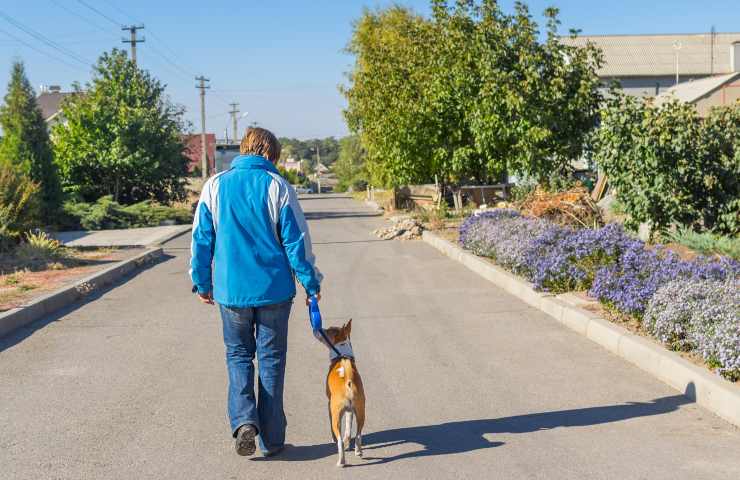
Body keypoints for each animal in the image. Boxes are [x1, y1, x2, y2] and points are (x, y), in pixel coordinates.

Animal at [320, 320, 366, 466]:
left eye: (328, 331)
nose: (320, 329)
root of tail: (348, 381)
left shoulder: (329, 405)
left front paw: (334, 439)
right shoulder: (350, 411)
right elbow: (348, 427)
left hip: (336, 414)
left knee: (339, 440)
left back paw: (341, 461)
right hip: (361, 412)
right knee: (358, 434)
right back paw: (358, 452)